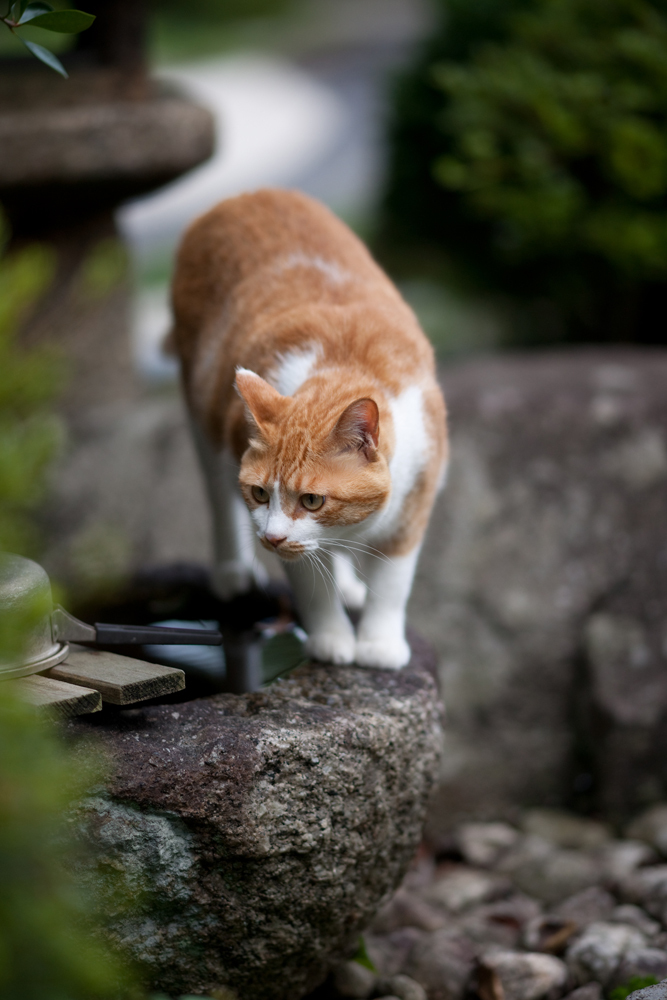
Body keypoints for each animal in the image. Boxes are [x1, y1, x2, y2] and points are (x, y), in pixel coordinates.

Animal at [171, 190, 448, 668]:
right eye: (259, 493)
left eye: (313, 500)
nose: (270, 537)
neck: (341, 363)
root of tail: (243, 196)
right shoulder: (284, 537)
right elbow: (312, 586)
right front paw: (330, 639)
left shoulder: (415, 501)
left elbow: (392, 584)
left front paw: (378, 644)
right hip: (202, 414)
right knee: (218, 497)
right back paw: (232, 573)